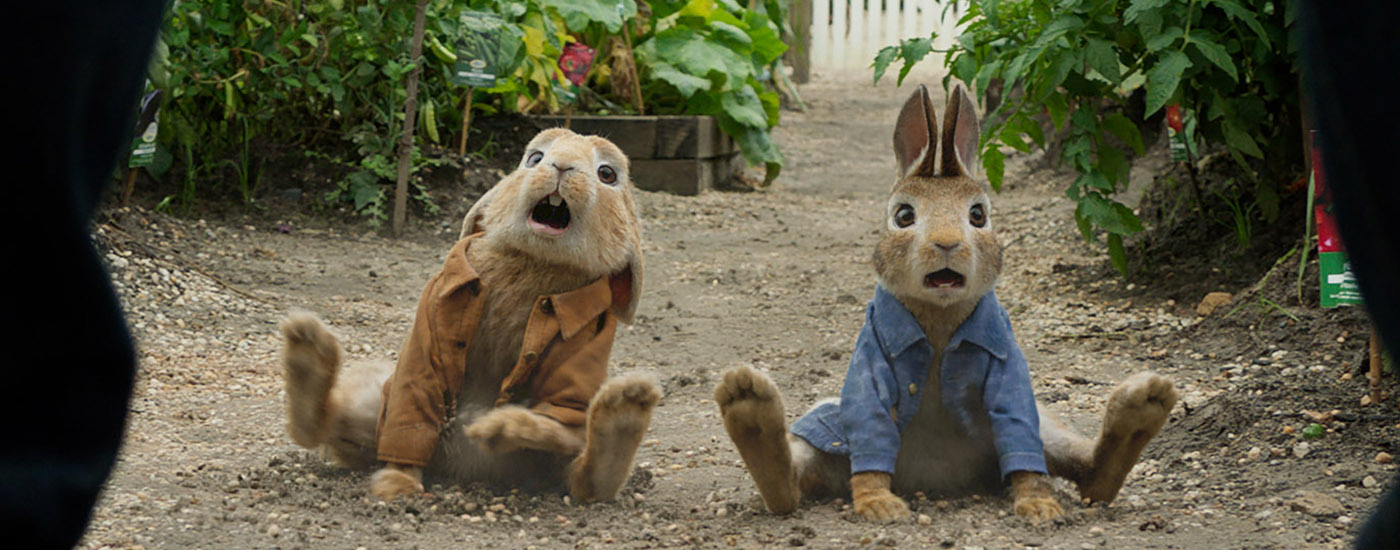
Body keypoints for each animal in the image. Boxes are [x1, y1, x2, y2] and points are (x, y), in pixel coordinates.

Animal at [279, 127, 659, 503]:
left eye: (607, 174)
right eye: (534, 158)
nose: (562, 165)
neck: (538, 261)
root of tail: (459, 468)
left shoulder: (587, 341)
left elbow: (559, 407)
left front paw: (499, 426)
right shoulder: (427, 335)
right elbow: (413, 408)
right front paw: (397, 486)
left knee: (585, 479)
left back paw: (625, 406)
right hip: (377, 406)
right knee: (328, 427)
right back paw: (307, 345)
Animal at [714, 84, 1178, 524]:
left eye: (978, 216)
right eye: (903, 216)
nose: (947, 243)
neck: (938, 318)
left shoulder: (1009, 371)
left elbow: (1018, 431)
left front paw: (1039, 507)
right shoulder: (871, 362)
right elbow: (871, 424)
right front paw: (878, 506)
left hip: (1044, 428)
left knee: (1086, 472)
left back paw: (1145, 404)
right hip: (827, 432)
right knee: (794, 483)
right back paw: (747, 402)